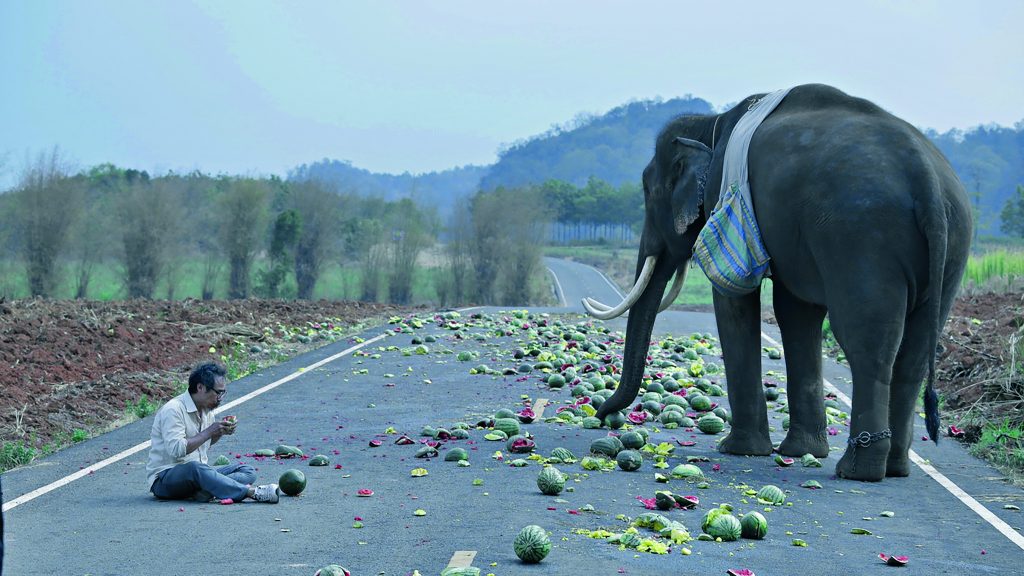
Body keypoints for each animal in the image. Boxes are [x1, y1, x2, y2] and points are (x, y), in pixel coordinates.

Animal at [585, 84, 972, 482]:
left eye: (648, 191)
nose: (602, 415)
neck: (712, 124)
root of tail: (927, 178)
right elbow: (796, 313)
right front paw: (801, 451)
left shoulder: (726, 195)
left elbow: (733, 300)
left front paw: (738, 449)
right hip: (952, 246)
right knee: (914, 354)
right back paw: (895, 467)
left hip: (862, 238)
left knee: (867, 344)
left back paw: (857, 470)